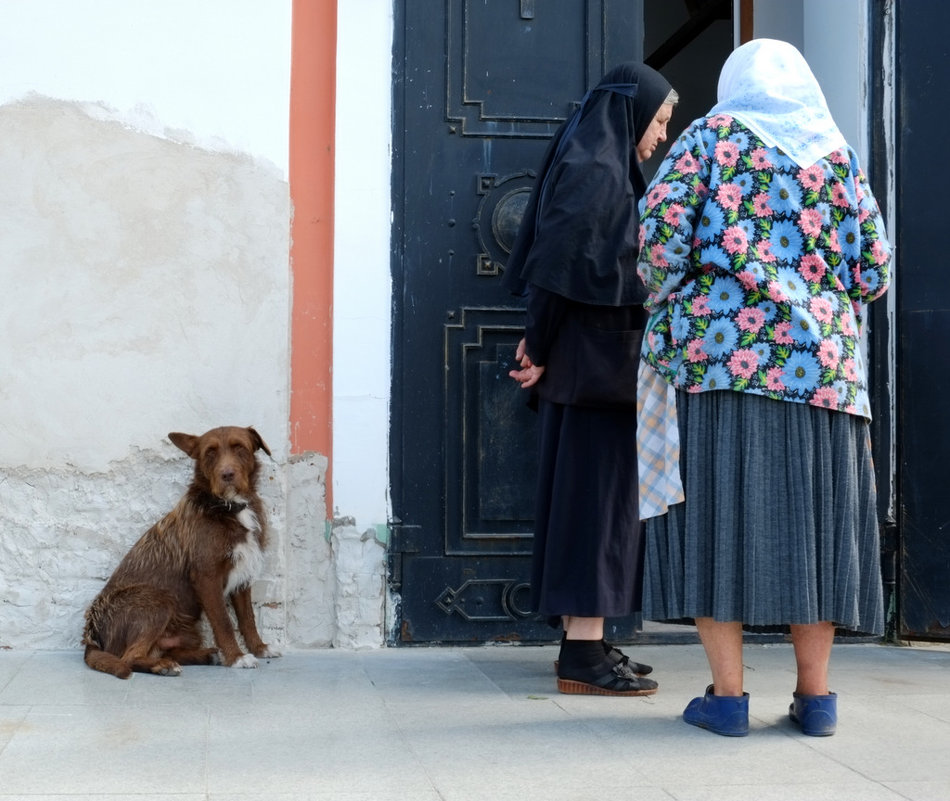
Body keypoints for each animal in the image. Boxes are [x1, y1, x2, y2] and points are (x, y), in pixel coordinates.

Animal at [82, 424, 278, 676]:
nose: (227, 475)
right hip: (157, 601)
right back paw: (163, 666)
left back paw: (205, 655)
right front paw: (236, 657)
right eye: (210, 453)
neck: (227, 507)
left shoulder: (243, 576)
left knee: (167, 651)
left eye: (239, 448)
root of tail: (93, 638)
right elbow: (224, 622)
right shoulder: (207, 577)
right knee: (129, 658)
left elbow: (248, 618)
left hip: (187, 630)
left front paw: (260, 648)